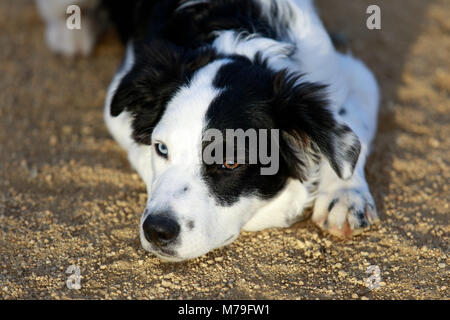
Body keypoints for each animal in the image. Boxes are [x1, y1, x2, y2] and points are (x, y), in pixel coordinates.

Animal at [37, 0, 380, 262]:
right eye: (162, 149)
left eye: (230, 163)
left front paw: (345, 196)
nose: (156, 231)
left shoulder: (352, 75)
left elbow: (349, 136)